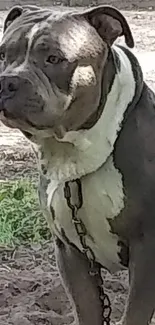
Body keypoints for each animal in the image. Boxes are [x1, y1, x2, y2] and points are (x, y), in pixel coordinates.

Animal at [0, 4, 155, 324]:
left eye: (54, 59)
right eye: (3, 54)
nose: (8, 81)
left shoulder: (147, 251)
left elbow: (134, 314)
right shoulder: (71, 254)